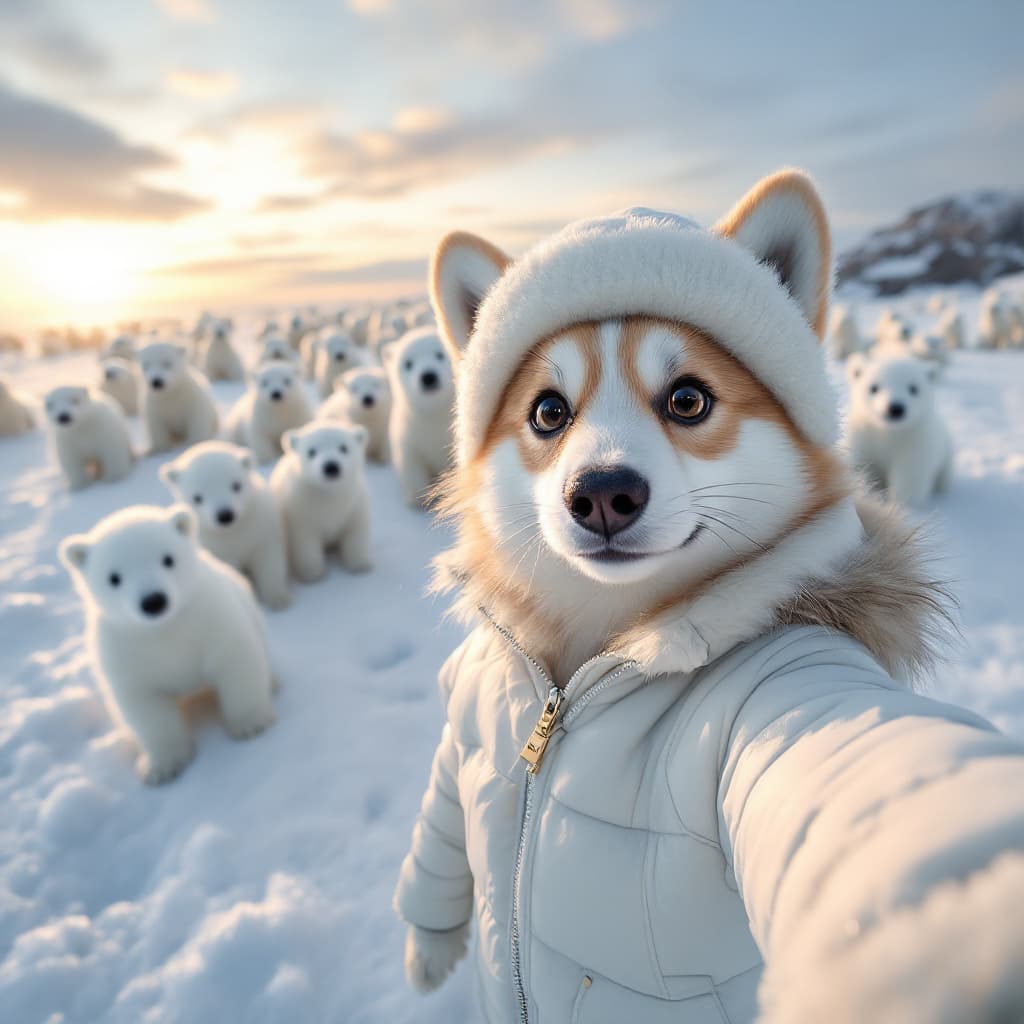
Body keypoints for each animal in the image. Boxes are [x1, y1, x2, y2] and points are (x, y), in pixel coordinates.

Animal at [59, 504, 276, 785]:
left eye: (168, 559)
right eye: (114, 578)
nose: (153, 601)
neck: (164, 629)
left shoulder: (212, 619)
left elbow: (235, 663)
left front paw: (251, 723)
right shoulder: (123, 650)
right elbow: (147, 709)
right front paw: (161, 767)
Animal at [160, 441, 291, 610]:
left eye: (236, 485)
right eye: (197, 497)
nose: (225, 515)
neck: (232, 532)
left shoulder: (261, 526)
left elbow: (268, 560)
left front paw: (278, 598)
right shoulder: (216, 547)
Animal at [270, 421, 372, 582]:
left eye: (344, 447)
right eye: (311, 451)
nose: (331, 466)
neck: (328, 496)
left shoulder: (354, 503)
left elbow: (355, 531)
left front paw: (360, 565)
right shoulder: (299, 510)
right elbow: (305, 542)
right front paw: (312, 573)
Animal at [383, 327, 455, 507]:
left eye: (440, 354)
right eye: (408, 363)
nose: (428, 376)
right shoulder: (409, 434)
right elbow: (411, 465)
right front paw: (418, 500)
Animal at [846, 354, 953, 506]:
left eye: (913, 388)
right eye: (874, 388)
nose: (895, 408)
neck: (888, 432)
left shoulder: (917, 439)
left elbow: (909, 473)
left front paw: (906, 504)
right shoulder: (862, 436)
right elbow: (860, 465)